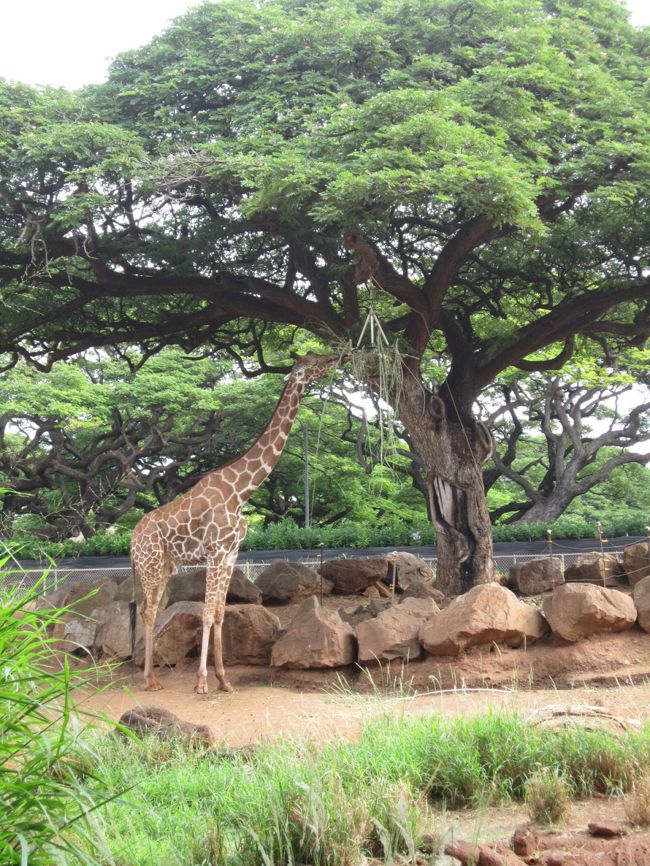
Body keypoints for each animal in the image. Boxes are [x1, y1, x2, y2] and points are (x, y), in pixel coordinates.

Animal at [130, 348, 342, 692]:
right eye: (312, 362)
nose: (337, 357)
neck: (241, 491)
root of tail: (131, 538)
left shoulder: (231, 552)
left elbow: (219, 611)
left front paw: (223, 679)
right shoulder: (216, 550)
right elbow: (205, 612)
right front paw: (202, 682)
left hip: (164, 566)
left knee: (151, 611)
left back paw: (153, 676)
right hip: (149, 565)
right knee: (147, 612)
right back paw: (150, 679)